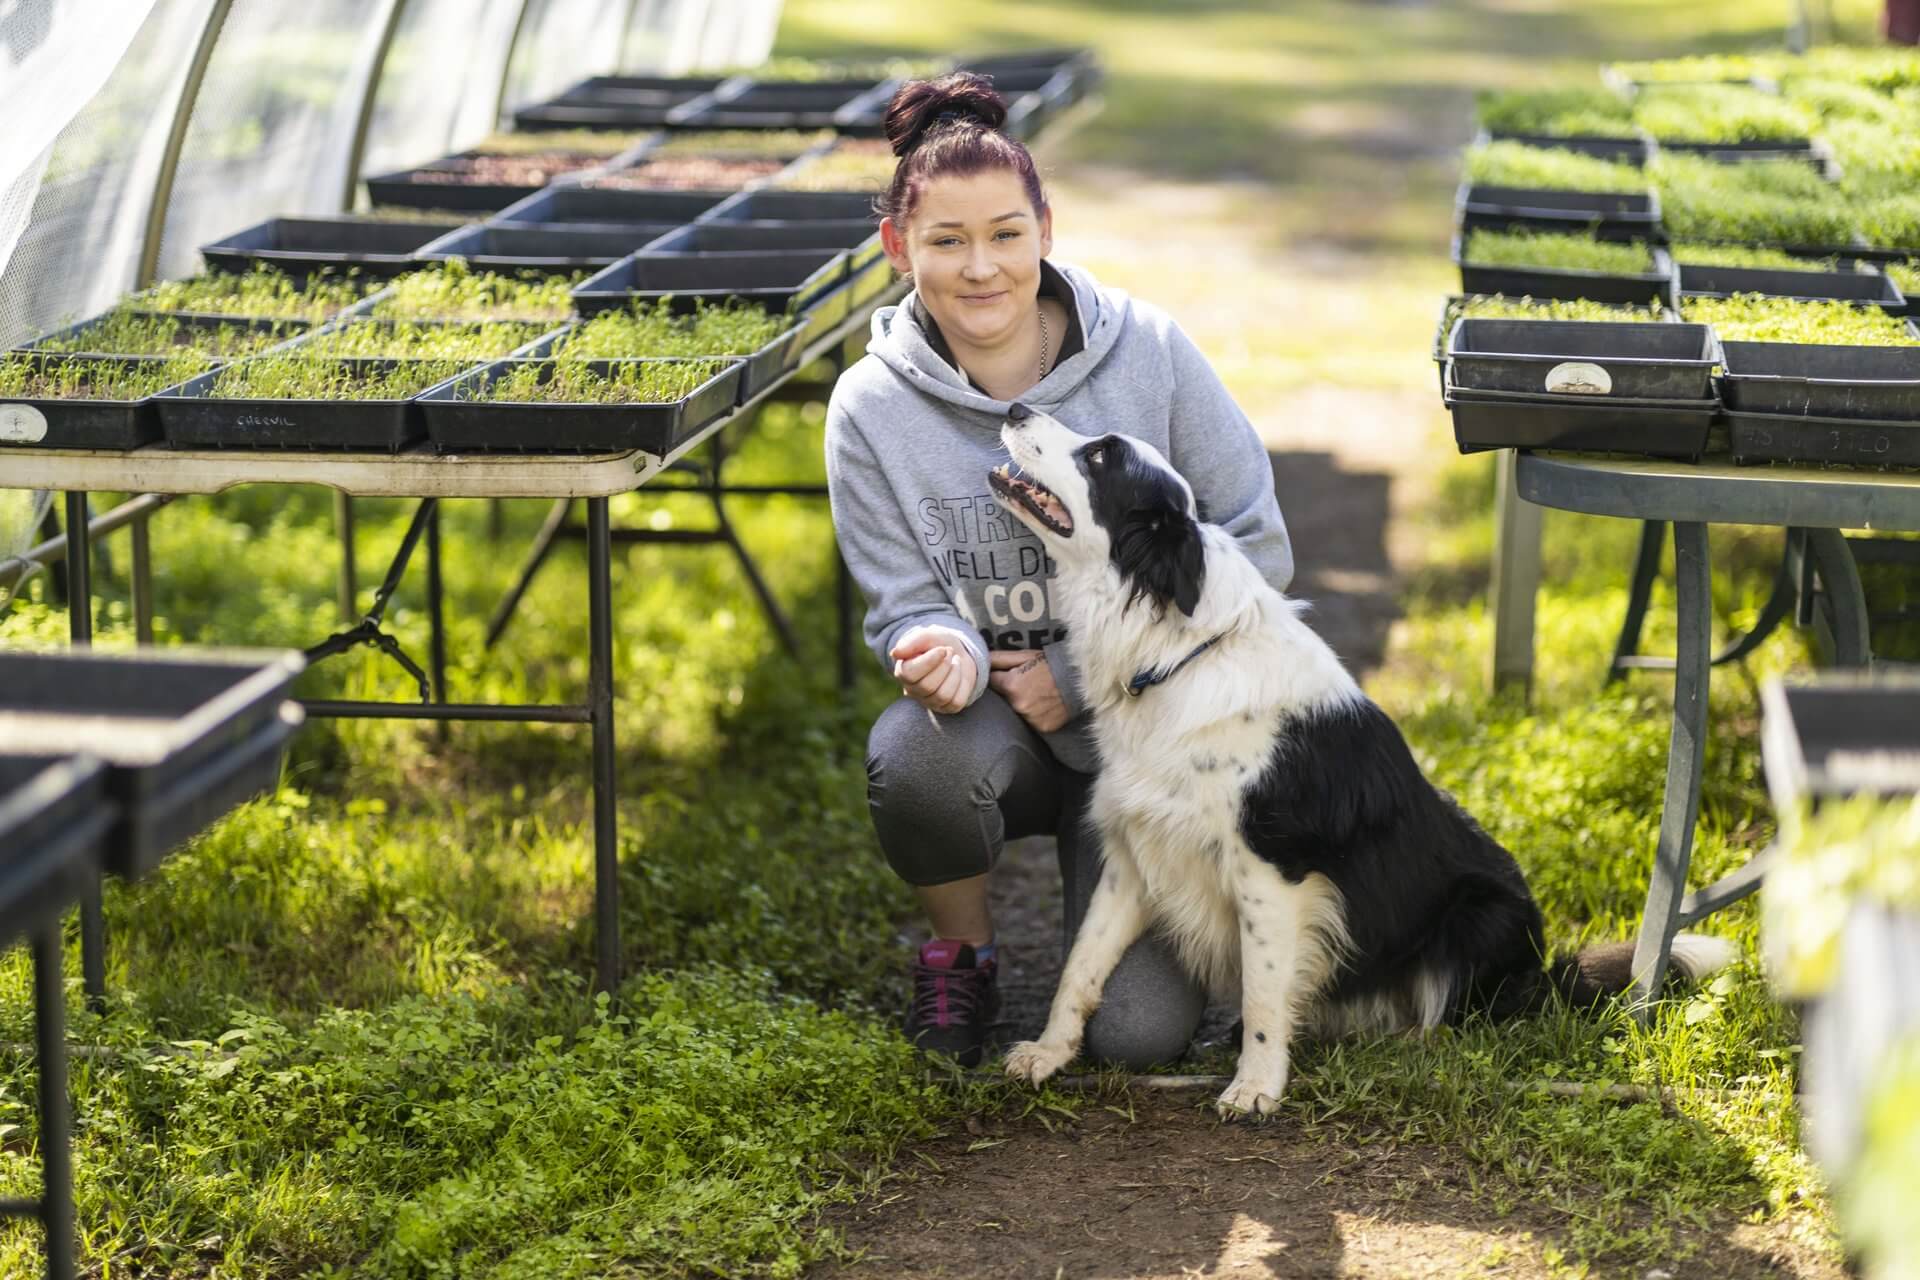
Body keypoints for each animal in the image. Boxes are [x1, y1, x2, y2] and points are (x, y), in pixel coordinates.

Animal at [983, 404, 1735, 1113]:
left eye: (1100, 457)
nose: (1016, 409)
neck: (1176, 655)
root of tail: (1542, 972)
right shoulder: (1135, 857)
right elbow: (1081, 965)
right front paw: (1049, 1053)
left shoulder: (1271, 871)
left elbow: (1262, 988)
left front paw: (1257, 1087)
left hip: (1481, 914)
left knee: (1458, 1017)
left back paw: (1409, 1043)